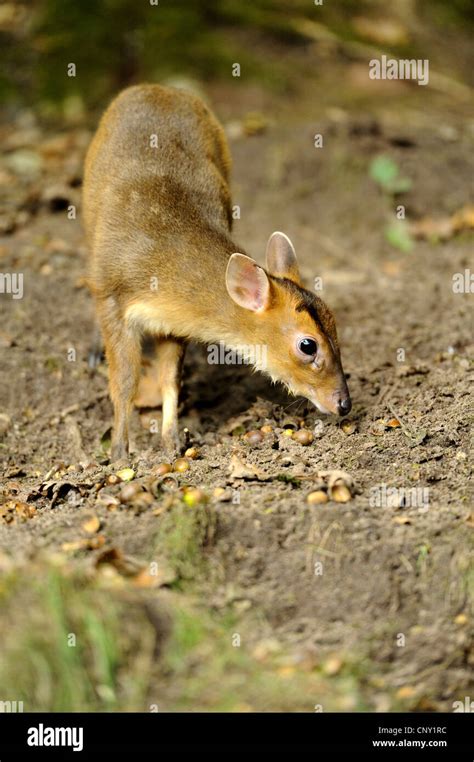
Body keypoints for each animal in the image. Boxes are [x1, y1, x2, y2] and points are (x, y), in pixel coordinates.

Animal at [81, 86, 350, 460]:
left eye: (335, 323)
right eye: (307, 345)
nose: (344, 403)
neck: (161, 269)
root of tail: (158, 88)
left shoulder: (171, 323)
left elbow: (169, 379)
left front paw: (172, 442)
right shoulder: (114, 296)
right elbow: (124, 382)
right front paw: (119, 452)